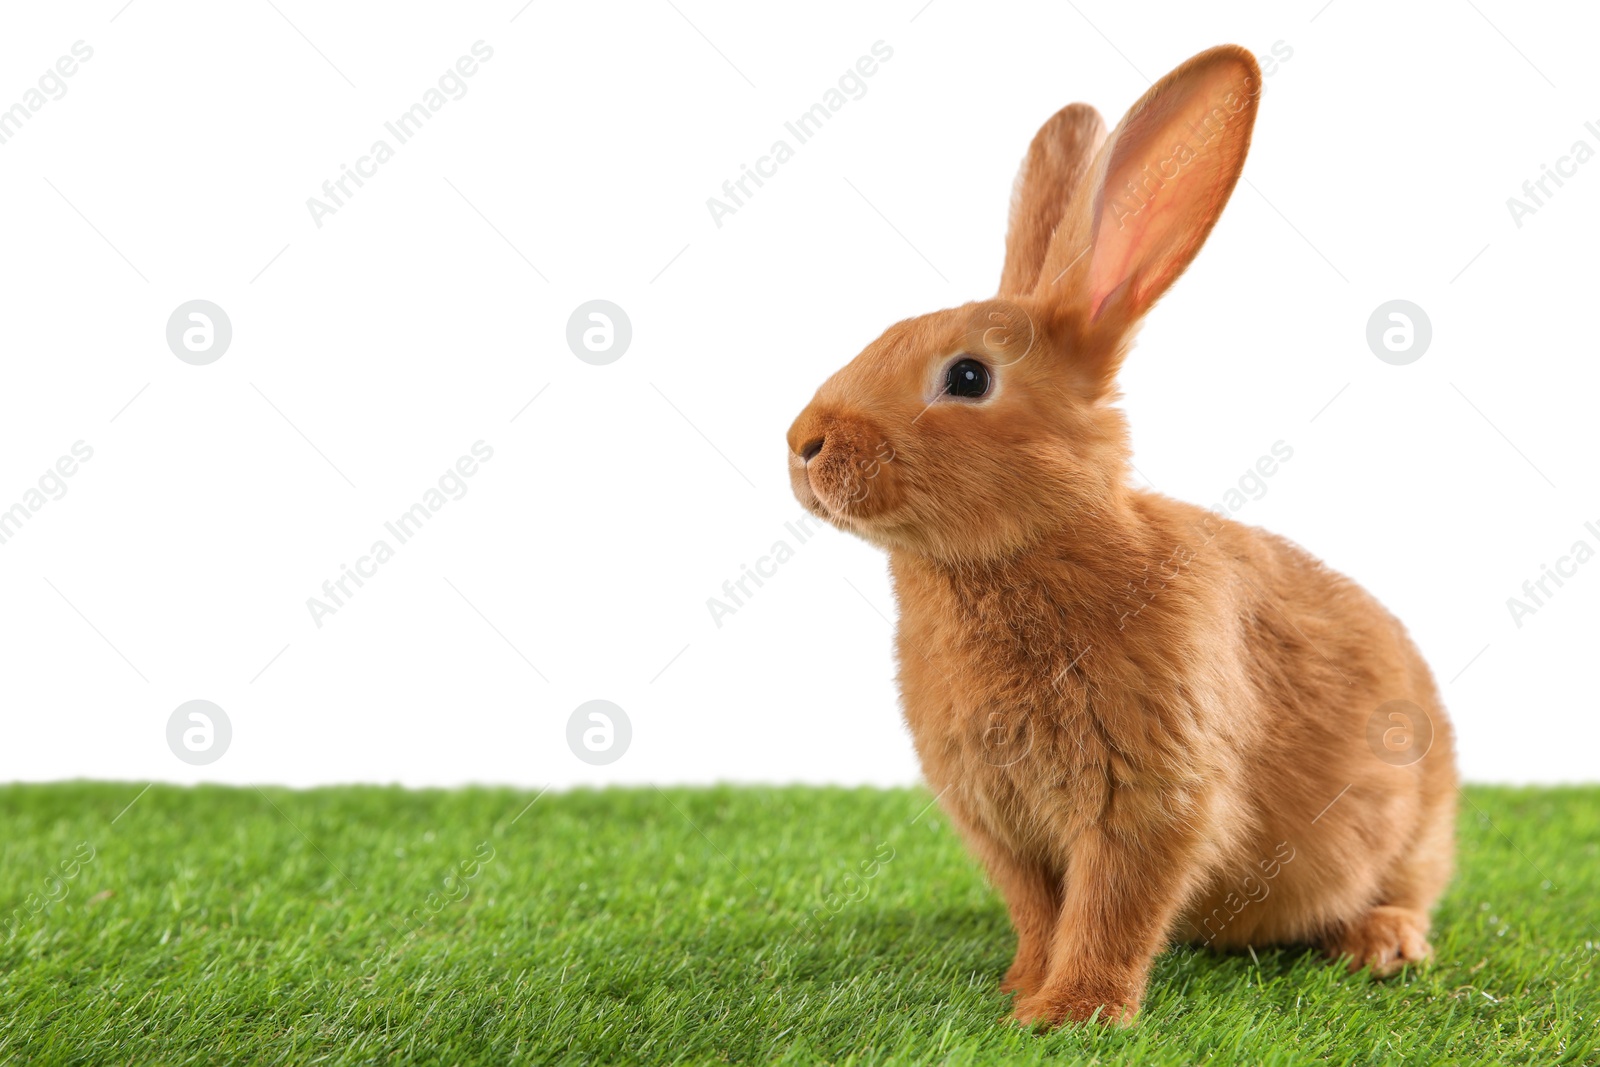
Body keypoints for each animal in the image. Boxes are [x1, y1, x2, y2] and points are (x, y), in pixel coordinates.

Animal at [780, 45, 1459, 1030]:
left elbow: (1113, 905)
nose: (804, 443)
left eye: (969, 376)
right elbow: (1038, 908)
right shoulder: (1001, 823)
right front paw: (1020, 987)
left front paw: (1070, 1013)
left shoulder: (1148, 795)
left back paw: (1380, 944)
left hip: (1419, 822)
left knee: (1410, 885)